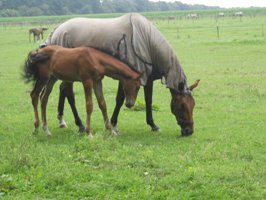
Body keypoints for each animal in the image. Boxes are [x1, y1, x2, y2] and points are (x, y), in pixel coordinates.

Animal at [42, 12, 198, 136]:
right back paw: (80, 125)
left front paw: (152, 125)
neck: (147, 42)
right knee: (68, 93)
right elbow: (122, 99)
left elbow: (146, 100)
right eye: (182, 106)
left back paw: (62, 121)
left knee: (63, 90)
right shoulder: (131, 78)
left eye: (193, 105)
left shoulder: (144, 78)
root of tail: (57, 30)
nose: (189, 131)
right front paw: (114, 125)